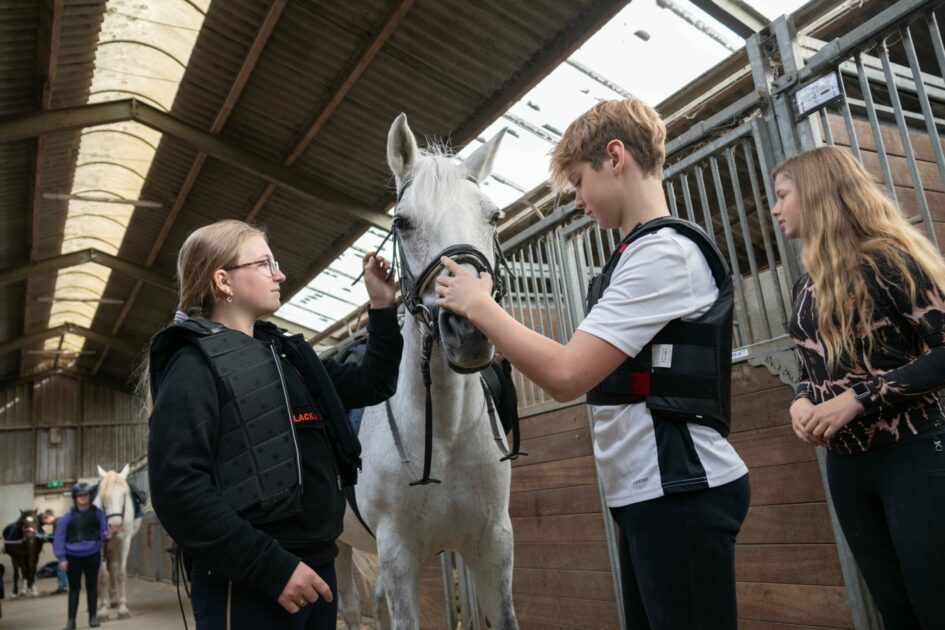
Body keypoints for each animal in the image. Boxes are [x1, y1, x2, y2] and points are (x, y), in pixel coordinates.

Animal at [93, 464, 141, 624]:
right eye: (103, 497)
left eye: (124, 495)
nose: (114, 526)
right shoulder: (101, 543)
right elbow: (102, 576)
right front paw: (102, 611)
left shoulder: (124, 540)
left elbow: (120, 573)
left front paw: (122, 609)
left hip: (114, 545)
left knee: (113, 567)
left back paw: (113, 600)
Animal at [336, 115, 516, 630]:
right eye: (402, 222)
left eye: (494, 216)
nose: (469, 329)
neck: (447, 435)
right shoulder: (398, 557)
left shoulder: (494, 545)